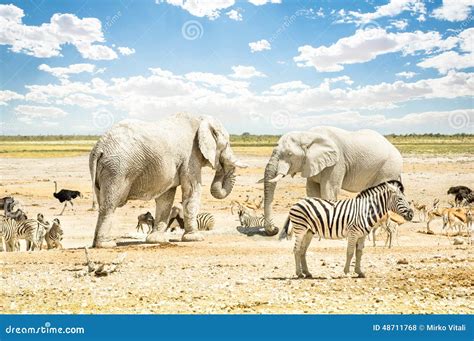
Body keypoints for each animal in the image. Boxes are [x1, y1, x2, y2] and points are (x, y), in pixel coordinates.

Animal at [89, 112, 246, 247]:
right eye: (227, 144)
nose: (220, 166)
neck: (200, 119)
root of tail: (99, 148)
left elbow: (166, 198)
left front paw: (156, 240)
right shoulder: (190, 157)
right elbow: (192, 190)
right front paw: (195, 238)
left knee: (102, 202)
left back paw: (97, 244)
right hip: (117, 169)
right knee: (110, 204)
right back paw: (106, 244)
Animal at [262, 126, 402, 235]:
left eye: (289, 154)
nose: (274, 229)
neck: (307, 135)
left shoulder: (337, 163)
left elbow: (328, 190)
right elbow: (312, 190)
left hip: (388, 168)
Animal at [280, 179, 412, 278]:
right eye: (400, 199)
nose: (411, 214)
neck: (366, 211)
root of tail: (298, 202)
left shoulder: (362, 235)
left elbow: (359, 253)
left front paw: (359, 272)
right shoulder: (353, 233)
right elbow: (350, 252)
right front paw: (347, 272)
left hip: (309, 232)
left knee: (303, 250)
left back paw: (307, 273)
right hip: (300, 229)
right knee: (296, 250)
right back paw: (299, 274)